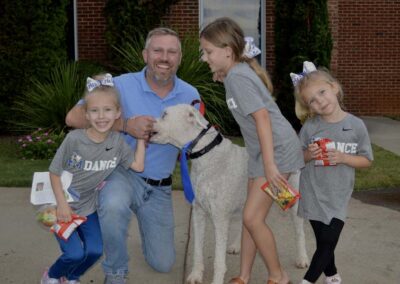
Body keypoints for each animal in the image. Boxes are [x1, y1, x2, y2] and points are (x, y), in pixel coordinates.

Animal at [151, 104, 310, 284]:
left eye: (164, 114)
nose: (148, 121)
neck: (206, 153)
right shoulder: (198, 212)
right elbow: (197, 250)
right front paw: (196, 275)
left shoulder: (220, 217)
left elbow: (218, 260)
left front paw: (216, 280)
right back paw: (236, 245)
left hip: (293, 201)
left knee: (299, 232)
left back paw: (302, 258)